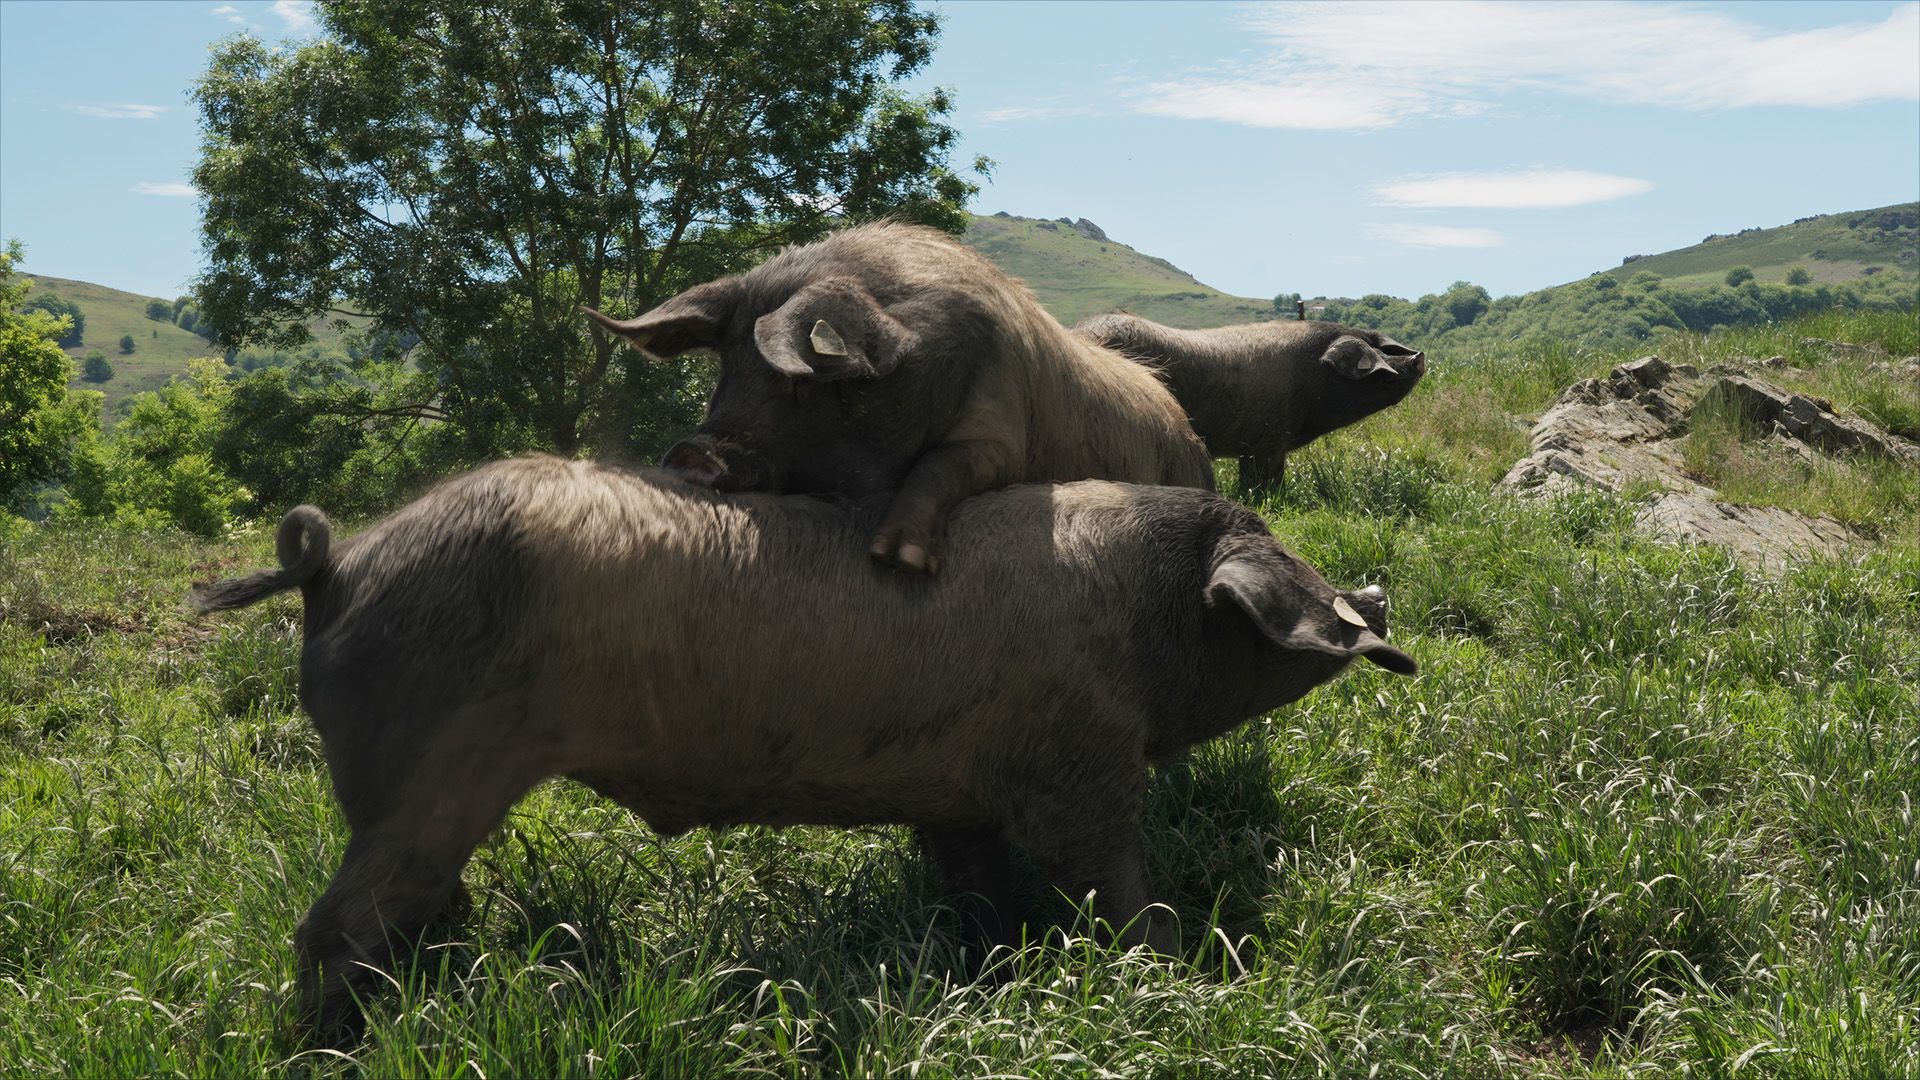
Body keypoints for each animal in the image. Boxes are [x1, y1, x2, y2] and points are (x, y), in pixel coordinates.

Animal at [191, 456, 1415, 1039]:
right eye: (1277, 562)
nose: (1371, 602)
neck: (1137, 617)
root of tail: (333, 565)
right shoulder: (1083, 770)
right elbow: (1116, 890)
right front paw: (1173, 974)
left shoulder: (957, 793)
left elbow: (975, 887)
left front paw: (987, 961)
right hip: (424, 776)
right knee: (332, 930)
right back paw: (345, 1038)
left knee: (411, 912)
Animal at [582, 222, 1213, 574]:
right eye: (727, 370)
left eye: (802, 380)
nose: (691, 452)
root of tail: (1188, 429)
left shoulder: (1001, 432)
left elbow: (944, 463)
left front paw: (897, 560)